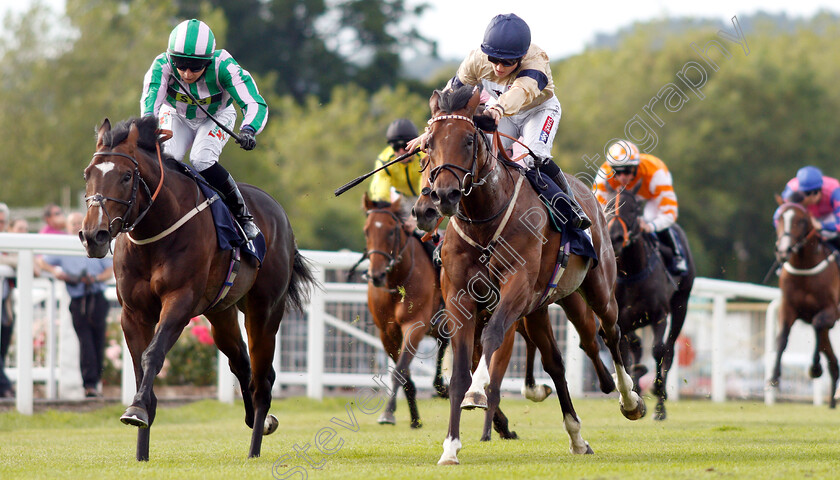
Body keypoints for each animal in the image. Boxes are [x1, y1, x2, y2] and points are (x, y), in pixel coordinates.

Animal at [79, 117, 316, 462]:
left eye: (126, 176)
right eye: (88, 174)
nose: (93, 235)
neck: (156, 231)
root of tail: (278, 212)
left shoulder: (180, 302)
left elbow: (153, 355)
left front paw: (136, 410)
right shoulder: (133, 313)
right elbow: (139, 369)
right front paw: (141, 444)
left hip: (265, 309)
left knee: (263, 378)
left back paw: (255, 445)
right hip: (220, 314)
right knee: (241, 362)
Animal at [412, 86, 644, 464]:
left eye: (468, 140)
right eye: (428, 144)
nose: (442, 196)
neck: (484, 221)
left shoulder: (517, 287)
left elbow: (491, 337)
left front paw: (478, 392)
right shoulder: (459, 298)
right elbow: (458, 373)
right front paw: (450, 447)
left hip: (597, 289)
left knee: (610, 333)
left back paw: (630, 400)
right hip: (537, 309)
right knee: (556, 362)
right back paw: (576, 437)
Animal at [604, 186, 696, 418]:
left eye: (634, 208)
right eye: (607, 206)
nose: (615, 237)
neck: (632, 273)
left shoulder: (659, 314)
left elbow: (658, 349)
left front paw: (657, 393)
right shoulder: (620, 319)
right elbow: (627, 351)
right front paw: (633, 388)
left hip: (681, 304)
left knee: (670, 349)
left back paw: (660, 400)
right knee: (637, 348)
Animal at [776, 193, 840, 406]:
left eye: (801, 220)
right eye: (779, 218)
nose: (783, 251)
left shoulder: (831, 311)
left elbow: (817, 324)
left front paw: (815, 368)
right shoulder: (788, 307)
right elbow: (782, 337)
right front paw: (774, 377)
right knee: (833, 360)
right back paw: (832, 400)